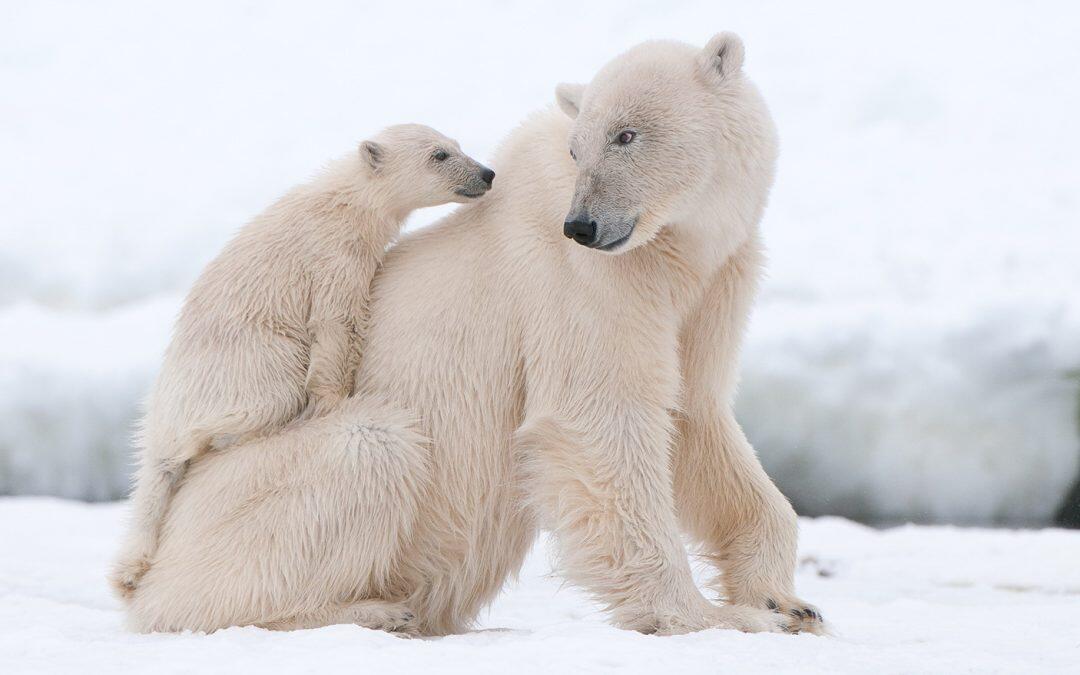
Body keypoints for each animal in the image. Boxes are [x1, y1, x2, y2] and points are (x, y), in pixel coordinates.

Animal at [105, 125, 494, 596]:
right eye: (439, 154)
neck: (346, 201)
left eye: (457, 145)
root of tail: (163, 414)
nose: (487, 173)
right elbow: (335, 323)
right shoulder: (333, 256)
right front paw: (334, 401)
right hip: (247, 362)